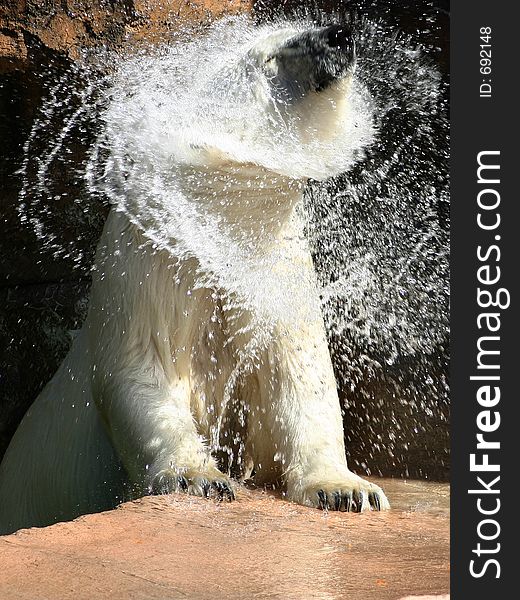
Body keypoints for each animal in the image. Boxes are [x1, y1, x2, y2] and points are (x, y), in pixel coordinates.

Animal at [0, 21, 390, 536]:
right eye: (274, 55)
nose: (339, 34)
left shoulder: (279, 269)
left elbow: (298, 372)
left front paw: (346, 488)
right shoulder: (150, 263)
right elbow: (143, 365)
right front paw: (198, 477)